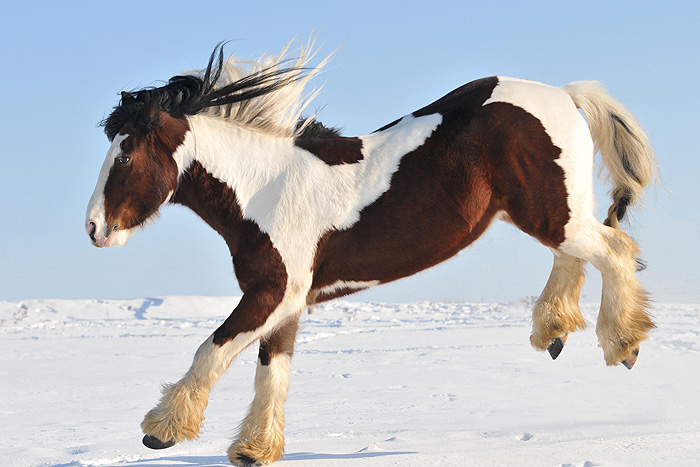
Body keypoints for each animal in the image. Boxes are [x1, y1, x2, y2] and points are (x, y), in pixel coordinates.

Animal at [86, 41, 656, 467]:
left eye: (127, 153)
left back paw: (623, 343)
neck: (265, 188)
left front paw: (161, 430)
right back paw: (555, 330)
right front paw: (253, 449)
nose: (93, 228)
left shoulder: (274, 292)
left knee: (614, 249)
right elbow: (273, 370)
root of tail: (563, 94)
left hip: (549, 212)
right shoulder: (287, 302)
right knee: (580, 254)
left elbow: (212, 348)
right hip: (552, 212)